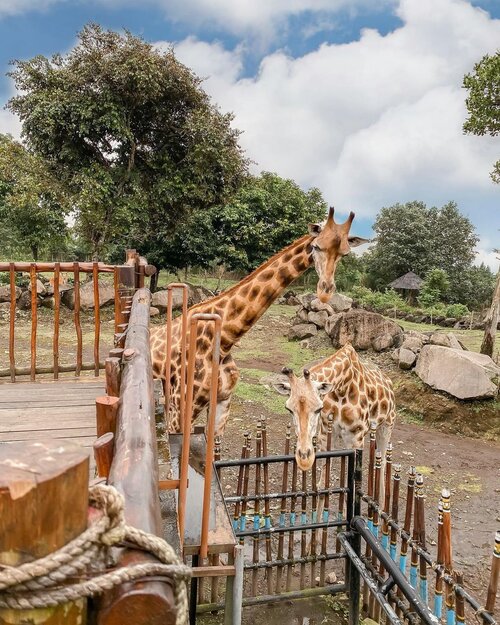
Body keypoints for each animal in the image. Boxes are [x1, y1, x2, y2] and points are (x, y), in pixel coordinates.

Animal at [150, 208, 370, 434]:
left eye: (344, 253)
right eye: (316, 246)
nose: (325, 291)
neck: (225, 340)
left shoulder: (222, 402)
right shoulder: (179, 406)